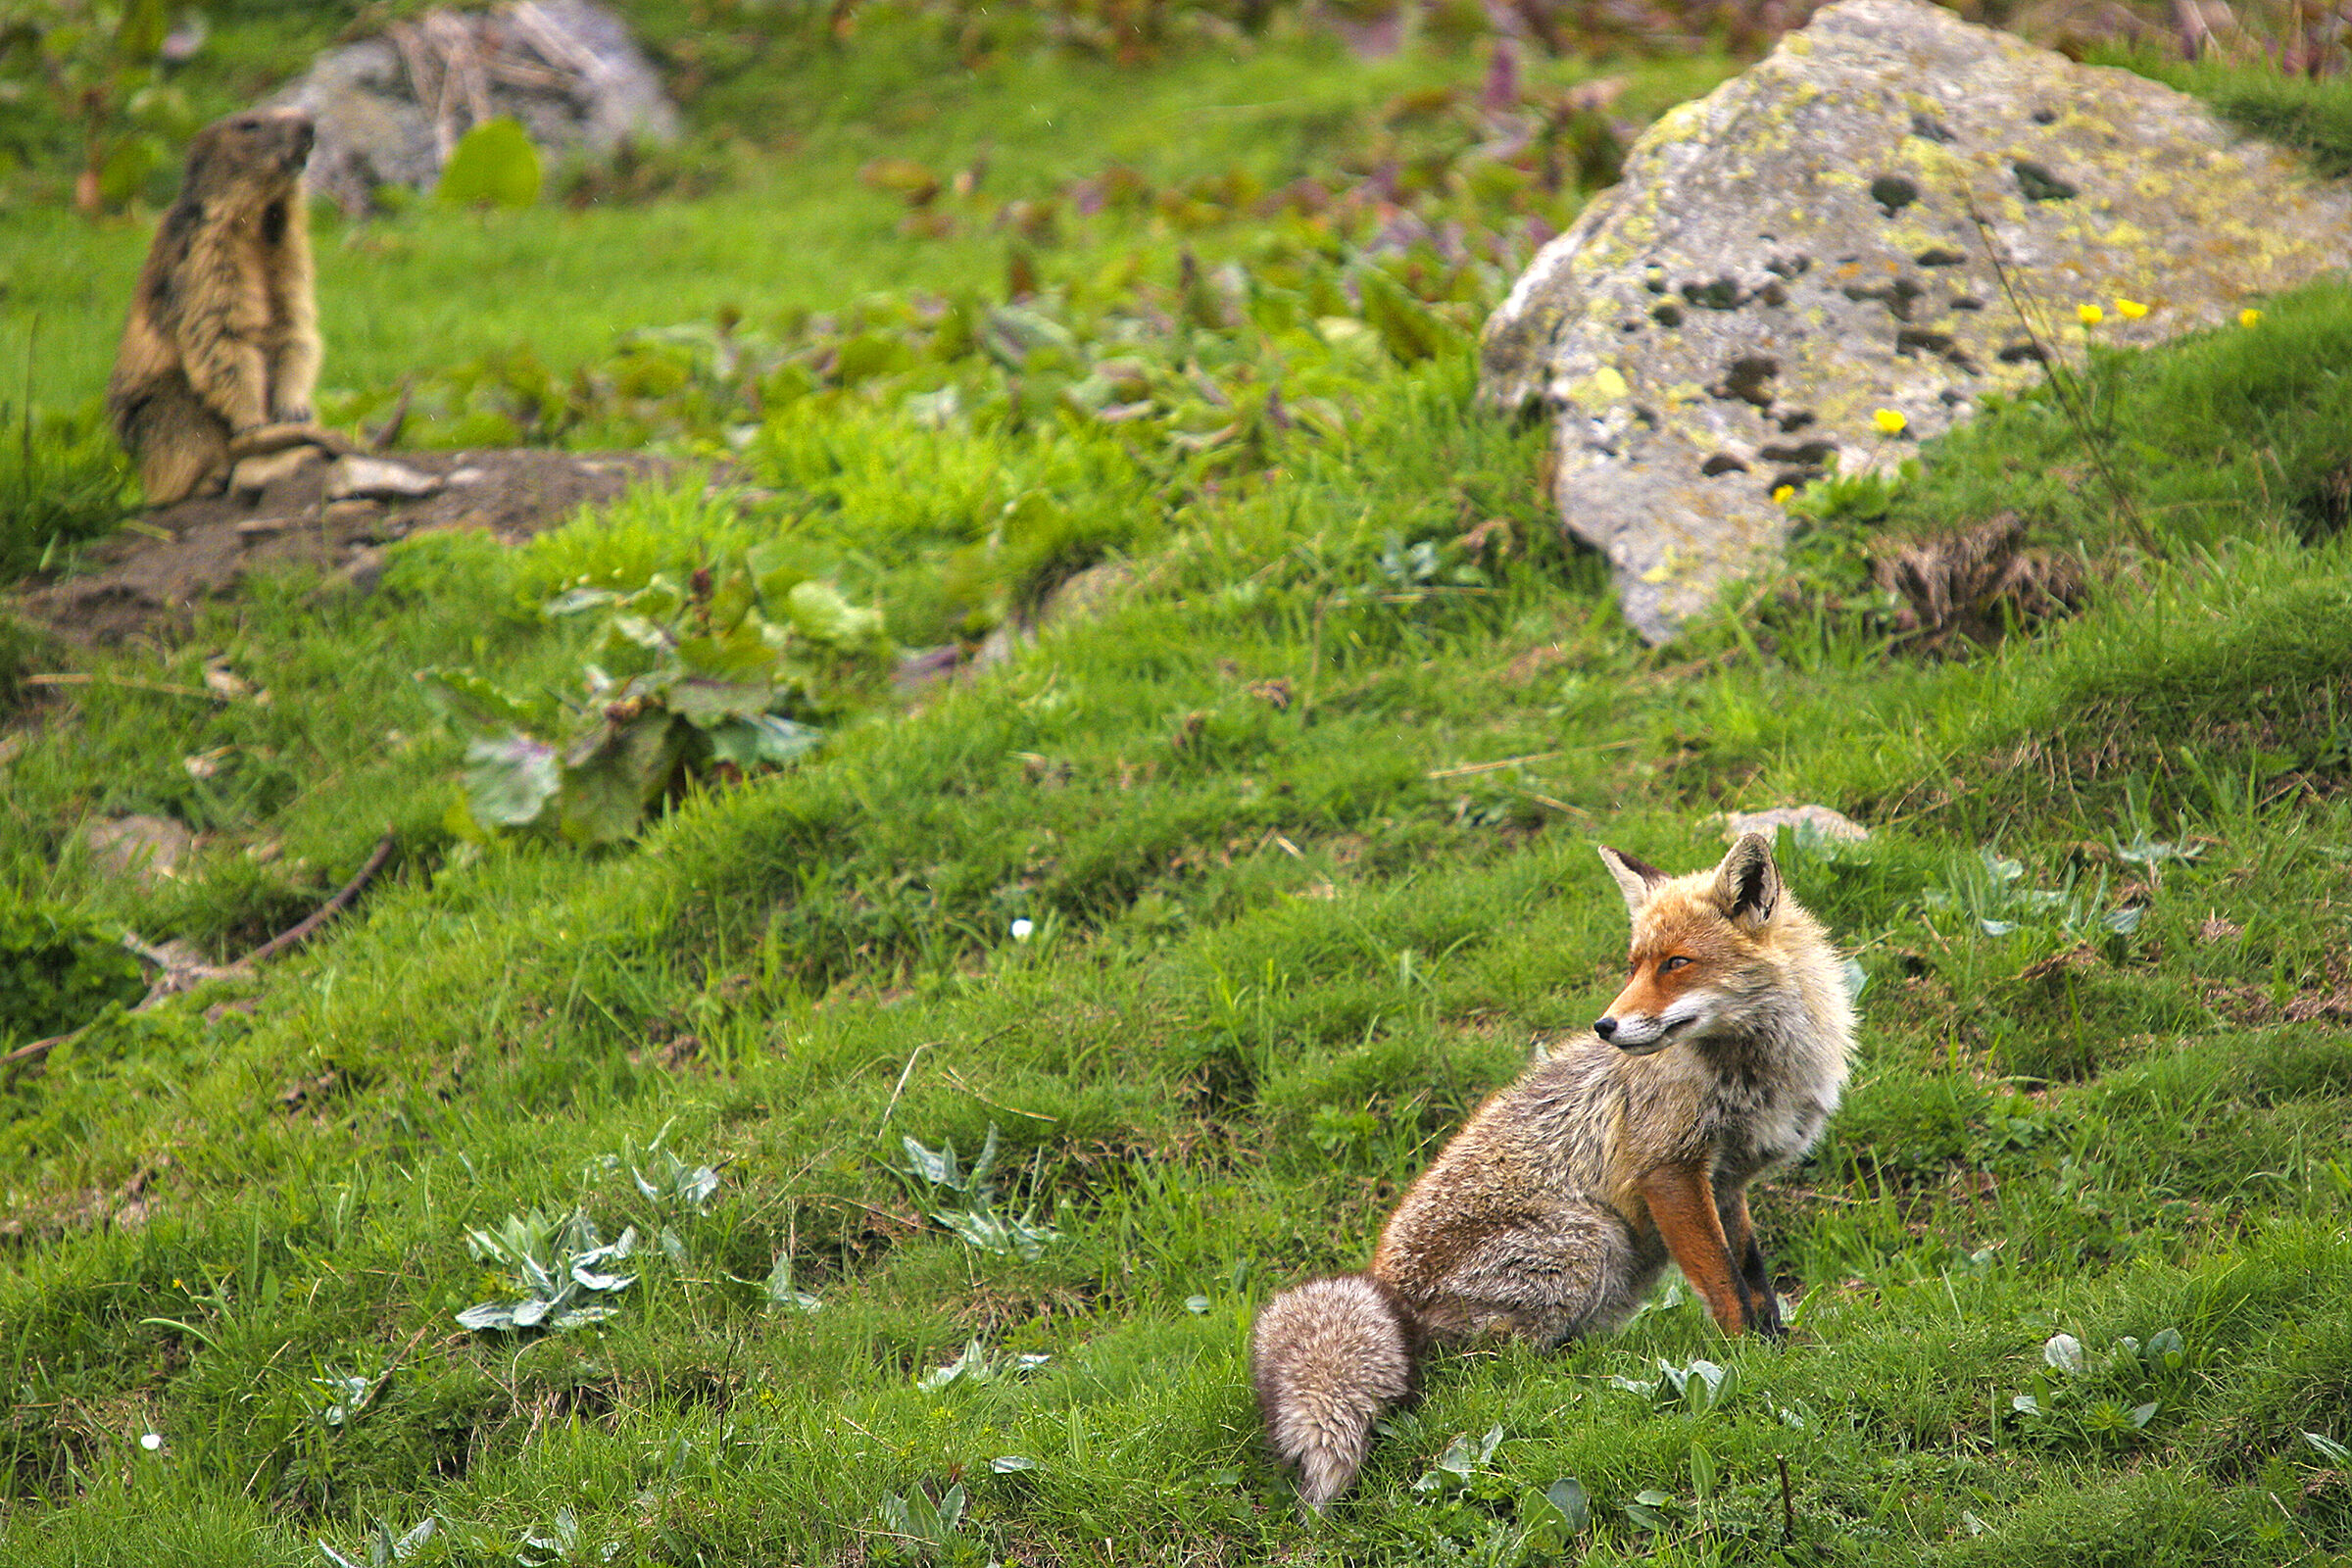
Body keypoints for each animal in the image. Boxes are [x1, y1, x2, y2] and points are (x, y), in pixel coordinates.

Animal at [1250, 831, 1855, 1510]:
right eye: (1633, 965)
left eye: (1676, 963)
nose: (1606, 1026)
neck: (1753, 1075)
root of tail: (1389, 1294)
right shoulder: (1669, 1170)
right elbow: (1725, 1286)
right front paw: (1746, 1360)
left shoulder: (1726, 1183)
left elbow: (1752, 1275)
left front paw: (1777, 1346)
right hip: (1594, 1242)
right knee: (1490, 1369)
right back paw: (1580, 1372)